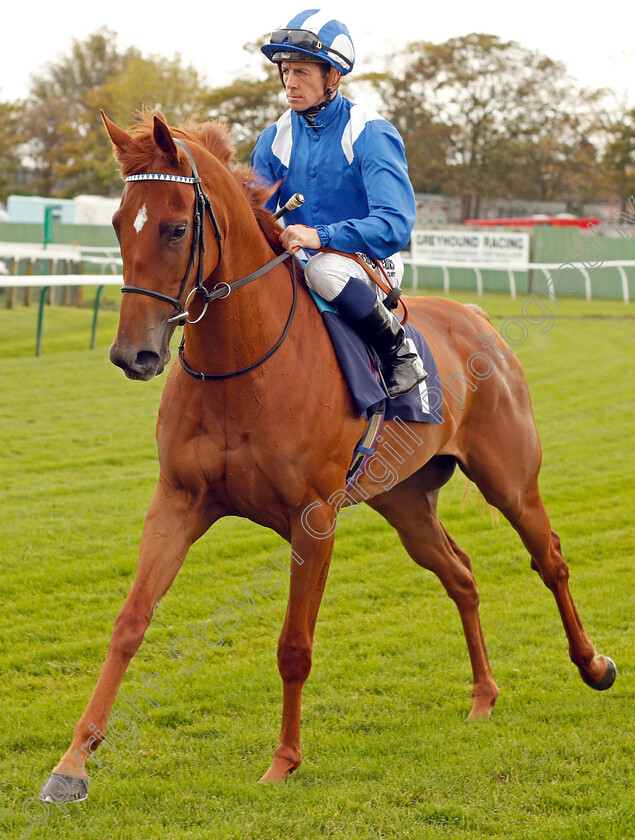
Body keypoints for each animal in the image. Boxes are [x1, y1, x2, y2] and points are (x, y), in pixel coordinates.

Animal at [37, 111, 612, 800]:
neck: (242, 368)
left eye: (176, 228)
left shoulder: (313, 520)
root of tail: (477, 317)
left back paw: (593, 664)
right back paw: (483, 697)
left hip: (511, 480)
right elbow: (129, 623)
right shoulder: (178, 500)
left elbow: (294, 644)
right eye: (121, 224)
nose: (133, 354)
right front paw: (73, 763)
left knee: (550, 559)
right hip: (406, 502)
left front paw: (284, 759)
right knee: (462, 574)